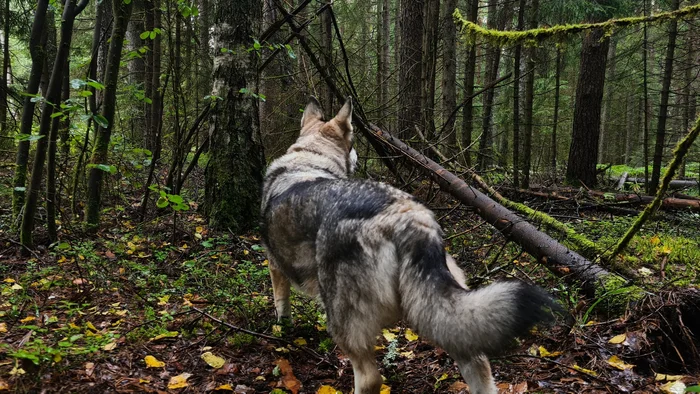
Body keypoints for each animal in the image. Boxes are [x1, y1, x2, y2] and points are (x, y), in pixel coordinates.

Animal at [260, 96, 560, 394]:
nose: (358, 156)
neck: (310, 158)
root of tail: (408, 215)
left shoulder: (275, 266)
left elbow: (281, 303)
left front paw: (282, 329)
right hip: (444, 311)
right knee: (478, 362)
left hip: (346, 323)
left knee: (370, 378)